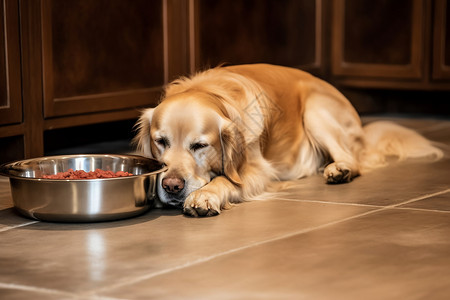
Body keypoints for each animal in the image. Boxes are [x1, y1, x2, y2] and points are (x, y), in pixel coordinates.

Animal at [134, 64, 442, 217]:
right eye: (161, 141)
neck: (213, 93)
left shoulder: (257, 171)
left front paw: (205, 195)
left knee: (353, 159)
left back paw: (339, 169)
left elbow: (224, 179)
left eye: (200, 145)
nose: (172, 186)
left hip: (315, 109)